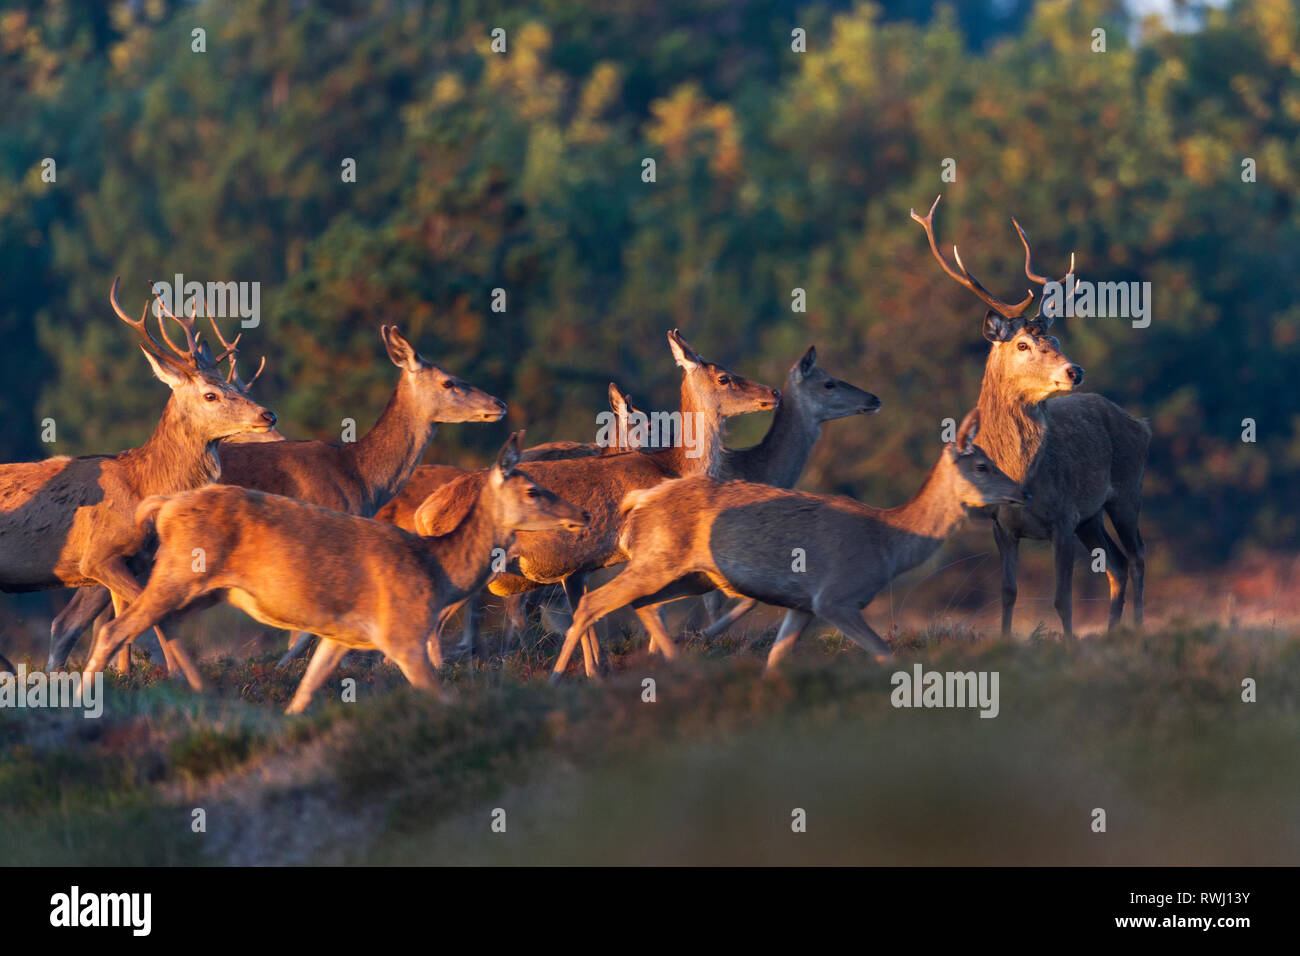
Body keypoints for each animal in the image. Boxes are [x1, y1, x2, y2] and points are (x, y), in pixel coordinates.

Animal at [1, 277, 276, 686]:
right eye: (210, 394)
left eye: (241, 390)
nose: (268, 415)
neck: (143, 487)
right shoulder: (98, 556)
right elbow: (157, 617)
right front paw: (189, 680)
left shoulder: (133, 560)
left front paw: (142, 676)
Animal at [81, 434, 585, 712]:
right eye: (534, 490)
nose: (580, 514)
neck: (438, 571)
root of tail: (164, 506)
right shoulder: (402, 633)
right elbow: (438, 695)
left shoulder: (342, 636)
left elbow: (304, 694)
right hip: (182, 572)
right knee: (114, 628)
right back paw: (88, 698)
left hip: (203, 587)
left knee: (158, 623)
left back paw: (202, 690)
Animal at [410, 332, 774, 676]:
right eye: (723, 377)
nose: (773, 393)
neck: (673, 467)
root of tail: (424, 513)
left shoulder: (580, 569)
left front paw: (597, 670)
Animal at [553, 408, 1029, 676]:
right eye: (983, 466)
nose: (1023, 493)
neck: (888, 542)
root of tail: (642, 499)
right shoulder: (836, 597)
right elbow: (885, 653)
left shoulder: (804, 605)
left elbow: (776, 659)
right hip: (657, 560)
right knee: (593, 602)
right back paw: (562, 678)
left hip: (691, 574)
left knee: (641, 605)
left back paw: (681, 665)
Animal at [909, 195, 1154, 639]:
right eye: (1022, 344)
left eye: (1054, 338)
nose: (1075, 371)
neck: (1021, 475)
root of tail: (1140, 425)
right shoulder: (1002, 524)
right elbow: (1008, 592)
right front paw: (1005, 641)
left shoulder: (1063, 517)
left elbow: (1061, 598)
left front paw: (1070, 644)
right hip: (1092, 516)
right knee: (1118, 564)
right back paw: (1112, 632)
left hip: (1127, 490)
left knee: (1138, 555)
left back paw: (1138, 628)